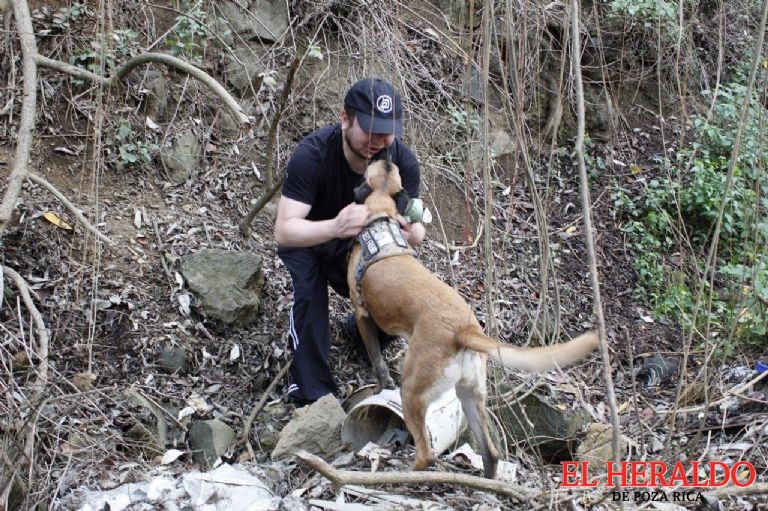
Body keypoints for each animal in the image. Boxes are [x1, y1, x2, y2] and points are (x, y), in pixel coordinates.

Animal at [348, 161, 600, 480]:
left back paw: (403, 474)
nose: (387, 156)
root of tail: (464, 330)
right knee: (490, 453)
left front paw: (381, 383)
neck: (380, 218)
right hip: (470, 395)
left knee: (426, 454)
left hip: (413, 392)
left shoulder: (362, 314)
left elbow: (377, 362)